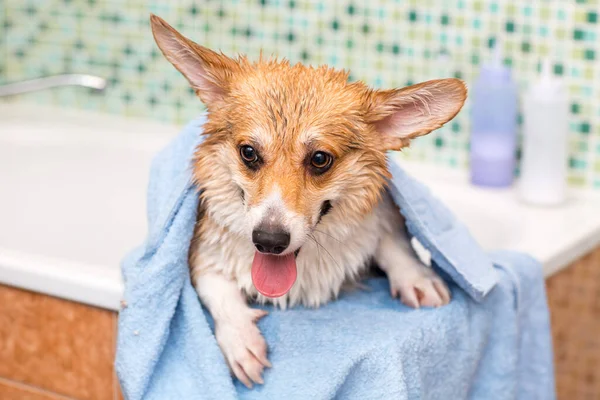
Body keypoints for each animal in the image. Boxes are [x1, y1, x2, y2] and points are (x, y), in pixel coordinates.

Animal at [151, 14, 468, 388]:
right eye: (248, 153)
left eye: (319, 159)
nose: (268, 241)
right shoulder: (201, 254)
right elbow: (219, 290)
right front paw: (242, 341)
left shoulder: (381, 215)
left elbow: (390, 238)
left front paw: (417, 277)